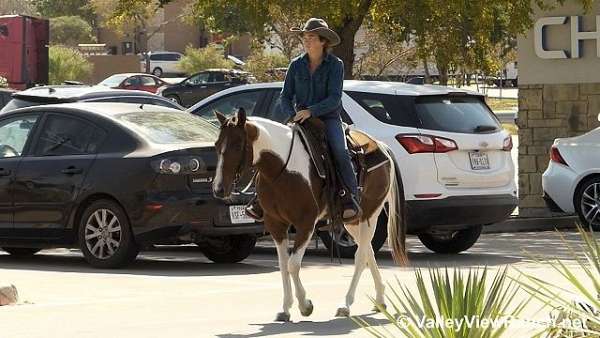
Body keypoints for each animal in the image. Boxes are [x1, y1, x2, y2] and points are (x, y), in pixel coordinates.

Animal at [212, 109, 408, 322]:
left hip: (369, 214)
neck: (282, 169)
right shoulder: (275, 224)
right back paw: (380, 299)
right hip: (352, 222)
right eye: (216, 145)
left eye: (237, 145)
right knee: (368, 252)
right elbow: (283, 265)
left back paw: (346, 304)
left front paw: (305, 305)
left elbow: (293, 265)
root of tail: (381, 146)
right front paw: (285, 308)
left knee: (360, 256)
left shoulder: (305, 224)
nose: (218, 189)